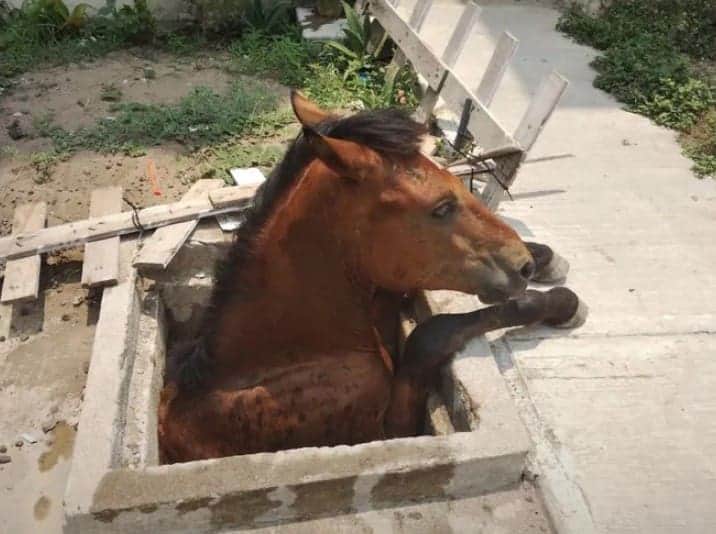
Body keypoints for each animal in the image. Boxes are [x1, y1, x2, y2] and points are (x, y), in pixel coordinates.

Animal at [158, 91, 585, 463]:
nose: (522, 267)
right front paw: (562, 302)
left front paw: (547, 261)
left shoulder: (388, 277)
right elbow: (431, 334)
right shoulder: (388, 430)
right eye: (441, 208)